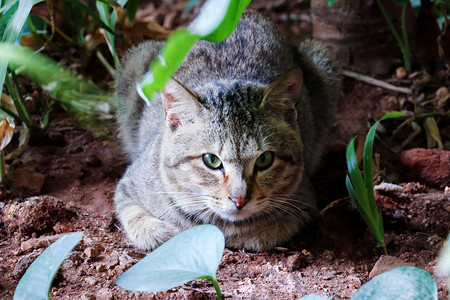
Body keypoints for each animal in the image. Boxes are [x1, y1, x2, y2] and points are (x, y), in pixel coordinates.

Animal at [113, 9, 342, 251]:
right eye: (211, 160)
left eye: (265, 159)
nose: (239, 200)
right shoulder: (126, 188)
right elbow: (141, 222)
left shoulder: (303, 200)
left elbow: (264, 231)